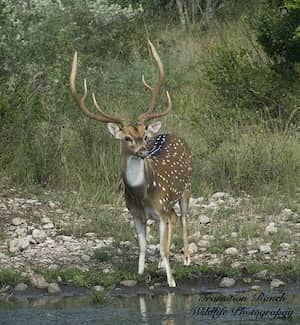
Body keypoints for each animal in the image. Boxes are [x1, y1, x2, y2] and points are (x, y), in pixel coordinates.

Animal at [70, 40, 192, 286]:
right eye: (127, 138)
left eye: (144, 135)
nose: (144, 151)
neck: (142, 193)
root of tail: (175, 135)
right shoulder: (135, 212)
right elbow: (143, 245)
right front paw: (140, 272)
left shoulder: (161, 208)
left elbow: (163, 248)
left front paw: (171, 281)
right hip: (169, 205)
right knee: (175, 219)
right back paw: (161, 263)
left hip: (186, 187)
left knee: (184, 218)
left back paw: (186, 258)